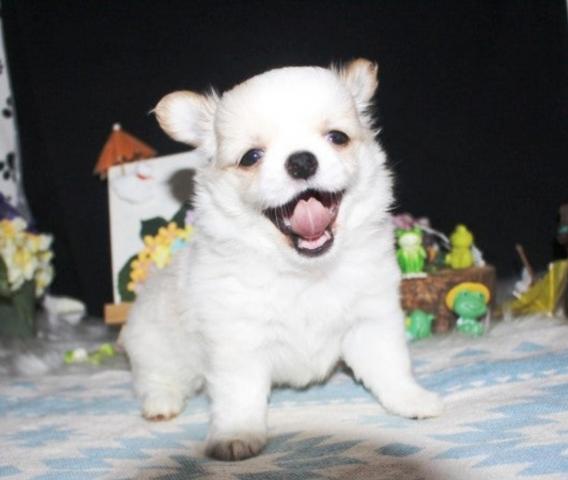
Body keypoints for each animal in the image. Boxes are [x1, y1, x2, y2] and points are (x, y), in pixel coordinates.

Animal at [123, 58, 442, 461]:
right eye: (251, 157)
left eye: (337, 137)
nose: (302, 160)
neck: (305, 273)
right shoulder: (238, 342)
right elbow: (240, 396)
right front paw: (236, 435)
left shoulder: (371, 320)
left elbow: (390, 366)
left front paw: (412, 400)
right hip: (155, 345)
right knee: (155, 378)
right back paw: (160, 403)